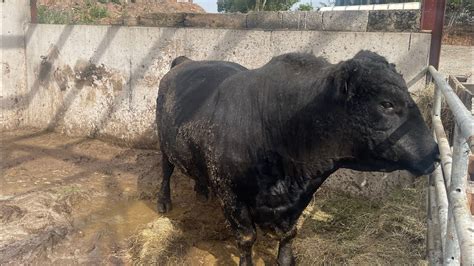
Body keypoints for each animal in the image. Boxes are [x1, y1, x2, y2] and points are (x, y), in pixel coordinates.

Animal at [155, 51, 436, 264]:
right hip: (164, 144)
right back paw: (163, 201)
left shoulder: (300, 198)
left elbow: (290, 234)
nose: (434, 152)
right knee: (166, 170)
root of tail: (184, 60)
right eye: (386, 103)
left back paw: (202, 191)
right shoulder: (230, 193)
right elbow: (246, 238)